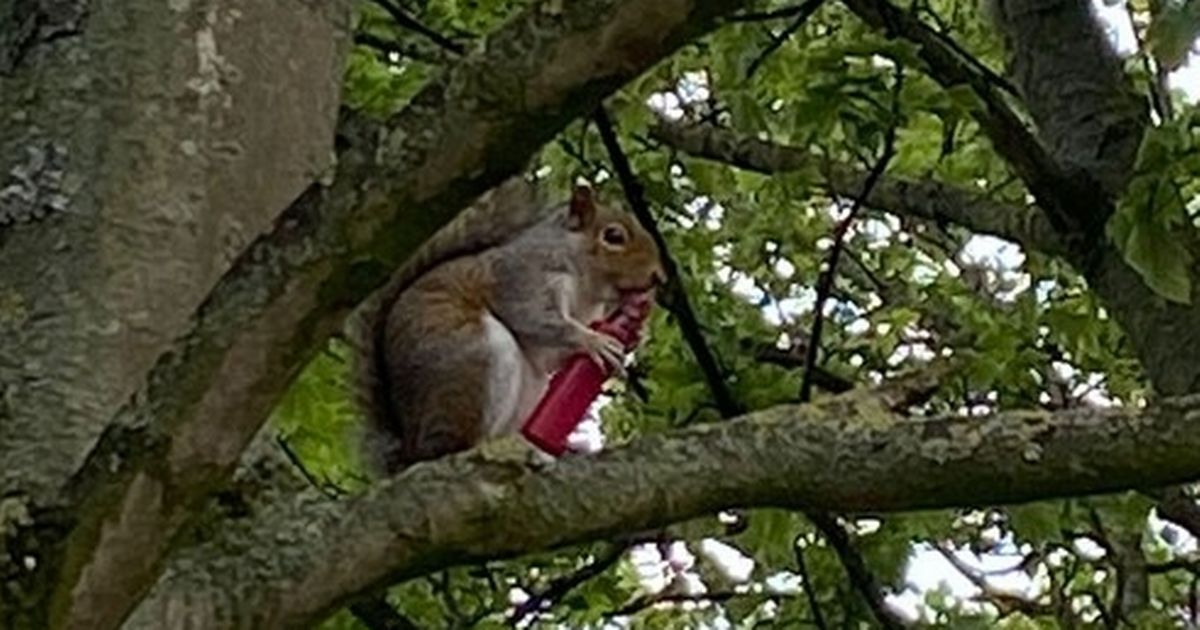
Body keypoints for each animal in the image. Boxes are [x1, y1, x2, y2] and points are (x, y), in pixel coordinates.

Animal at [351, 178, 666, 474]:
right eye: (613, 236)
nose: (659, 277)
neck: (586, 287)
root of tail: (410, 447)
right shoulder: (522, 279)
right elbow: (535, 319)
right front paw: (594, 341)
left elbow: (551, 356)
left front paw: (633, 333)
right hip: (473, 360)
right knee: (453, 445)